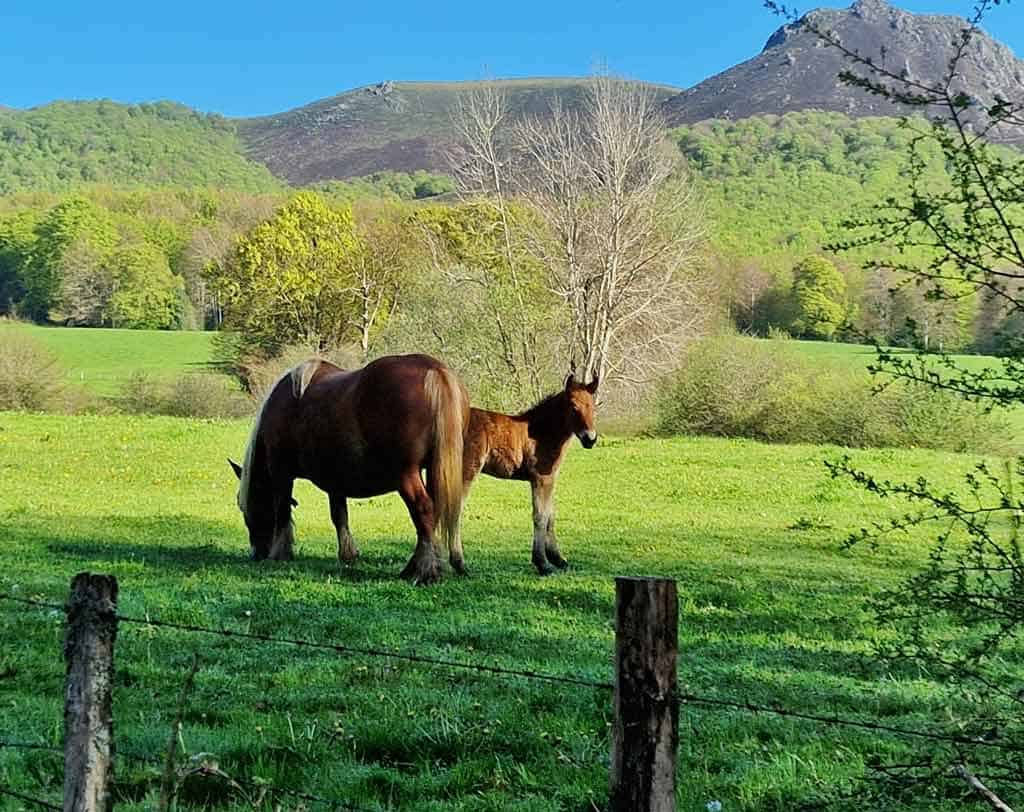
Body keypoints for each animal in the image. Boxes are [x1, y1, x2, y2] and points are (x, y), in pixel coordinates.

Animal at [228, 353, 470, 585]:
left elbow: (282, 511)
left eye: (244, 504)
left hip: (406, 474)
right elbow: (339, 516)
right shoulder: (335, 481)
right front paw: (348, 554)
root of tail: (434, 370)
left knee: (424, 509)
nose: (257, 553)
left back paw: (425, 571)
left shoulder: (281, 473)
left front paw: (280, 553)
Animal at [461, 373, 599, 575]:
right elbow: (540, 516)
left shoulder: (550, 479)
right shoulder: (541, 478)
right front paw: (542, 563)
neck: (542, 432)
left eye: (594, 407)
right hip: (466, 472)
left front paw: (558, 559)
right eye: (574, 407)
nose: (590, 439)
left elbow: (550, 515)